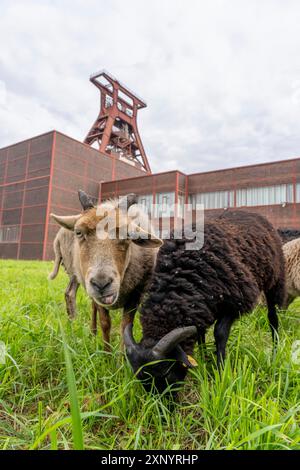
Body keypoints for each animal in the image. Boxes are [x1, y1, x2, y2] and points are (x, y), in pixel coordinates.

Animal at [124, 210, 286, 392]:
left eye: (166, 372)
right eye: (139, 377)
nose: (164, 402)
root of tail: (254, 214)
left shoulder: (236, 302)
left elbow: (220, 333)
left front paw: (221, 370)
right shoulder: (200, 306)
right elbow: (200, 334)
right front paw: (203, 360)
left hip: (275, 279)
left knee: (272, 318)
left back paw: (275, 350)